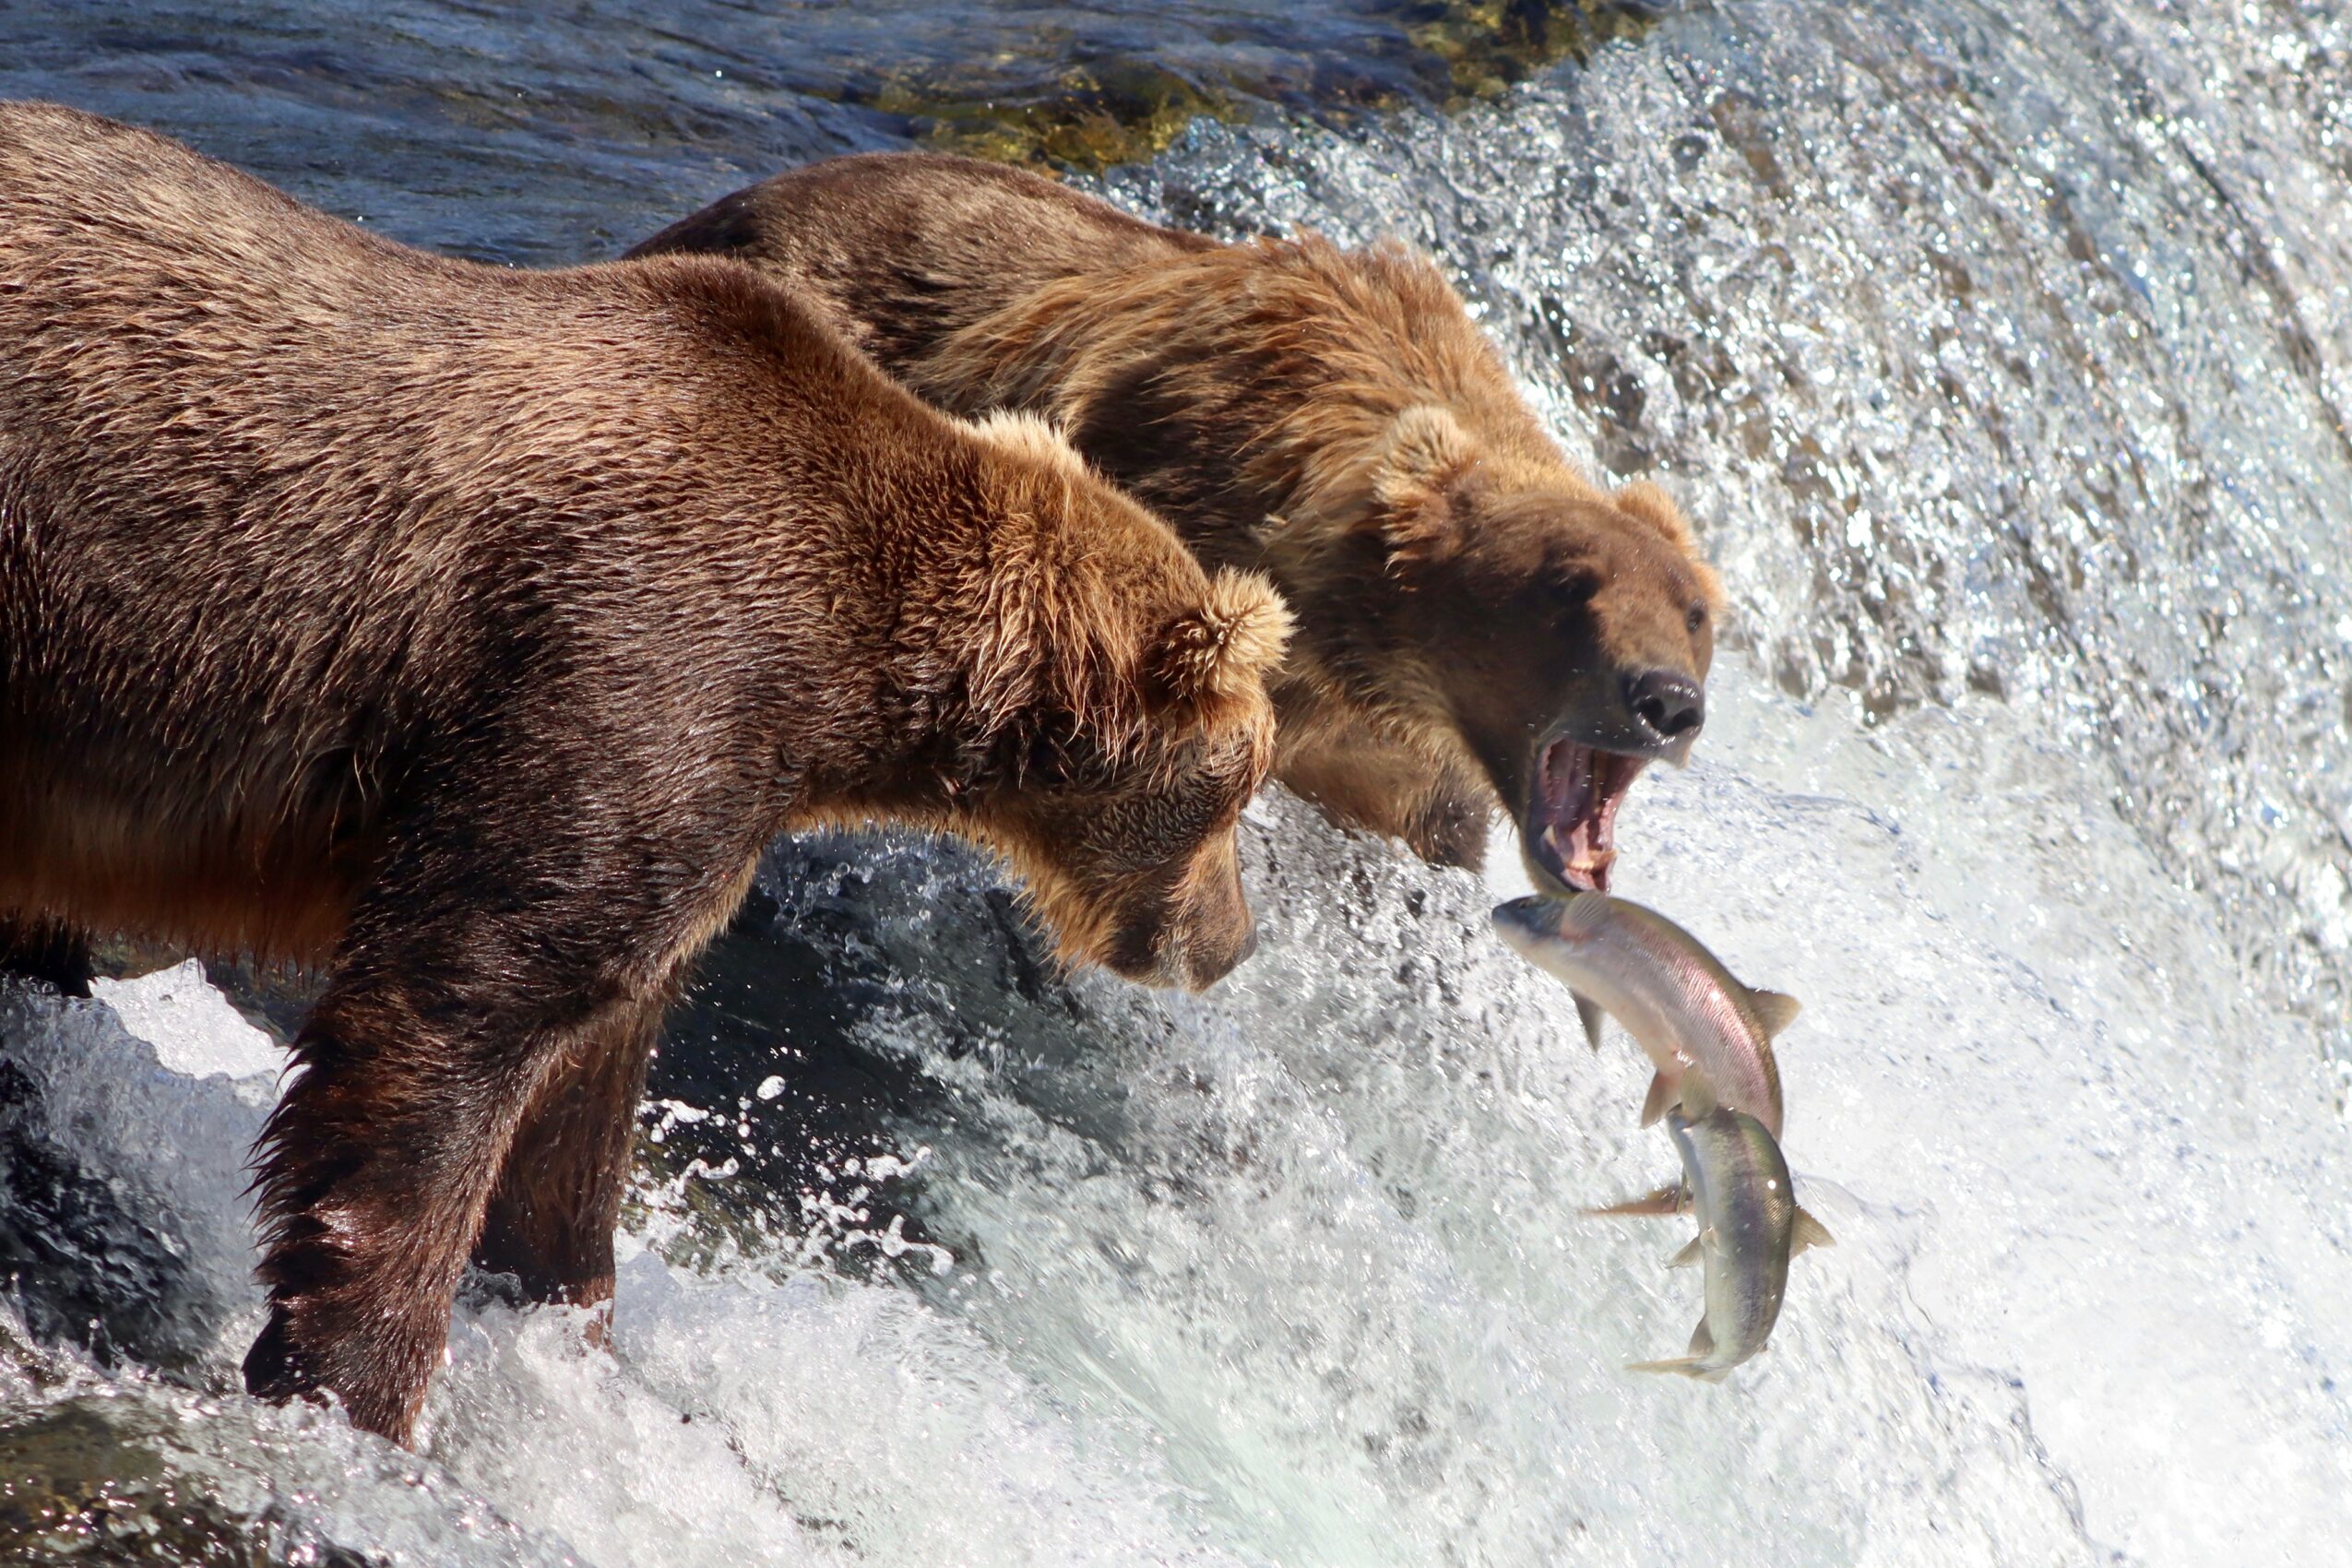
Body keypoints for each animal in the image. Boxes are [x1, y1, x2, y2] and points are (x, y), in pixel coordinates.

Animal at [0, 103, 1289, 1444]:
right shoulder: (625, 673)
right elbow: (453, 1013)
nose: (1231, 939)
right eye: (1241, 787)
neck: (852, 679)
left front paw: (564, 1311)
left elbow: (585, 1090)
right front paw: (364, 1386)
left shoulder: (699, 802)